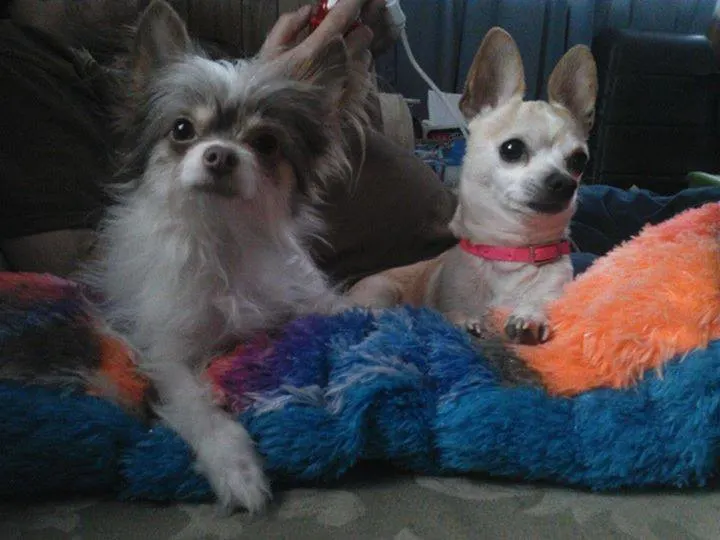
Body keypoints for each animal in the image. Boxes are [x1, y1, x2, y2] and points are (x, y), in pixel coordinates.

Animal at [86, 0, 358, 512]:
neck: (222, 236)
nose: (220, 155)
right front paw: (237, 468)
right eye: (182, 129)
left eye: (266, 143)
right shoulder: (167, 354)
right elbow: (201, 410)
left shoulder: (305, 298)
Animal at [348, 26, 596, 342]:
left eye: (579, 161)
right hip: (380, 289)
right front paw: (465, 321)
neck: (510, 253)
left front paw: (529, 316)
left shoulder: (553, 288)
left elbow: (541, 302)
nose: (564, 183)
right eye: (512, 149)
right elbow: (453, 313)